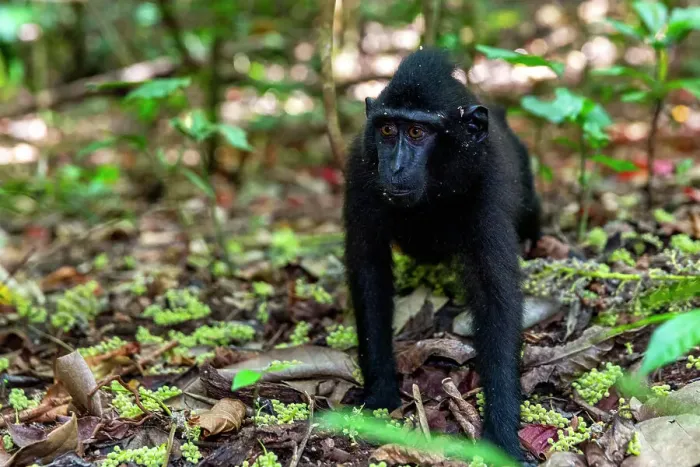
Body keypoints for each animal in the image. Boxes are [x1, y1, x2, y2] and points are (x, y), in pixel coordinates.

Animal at [343, 48, 541, 463]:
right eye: (388, 130)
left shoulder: (486, 184)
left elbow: (496, 296)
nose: (396, 166)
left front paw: (501, 433)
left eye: (418, 133)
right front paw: (380, 392)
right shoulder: (361, 171)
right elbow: (369, 271)